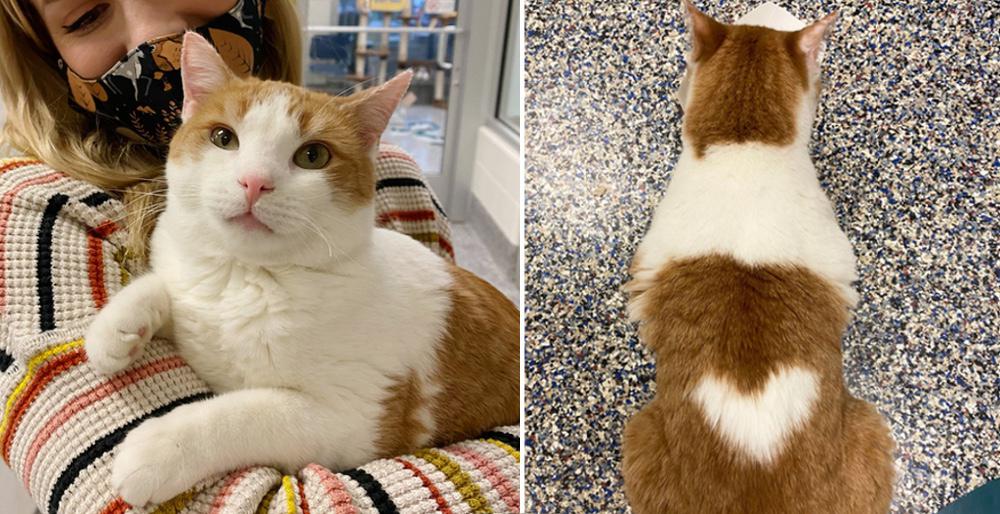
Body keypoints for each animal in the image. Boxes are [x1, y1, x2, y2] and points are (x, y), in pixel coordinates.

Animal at [85, 31, 520, 504]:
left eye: (313, 156)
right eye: (223, 137)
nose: (254, 181)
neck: (245, 277)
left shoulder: (355, 417)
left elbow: (244, 413)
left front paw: (163, 445)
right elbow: (164, 286)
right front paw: (116, 328)